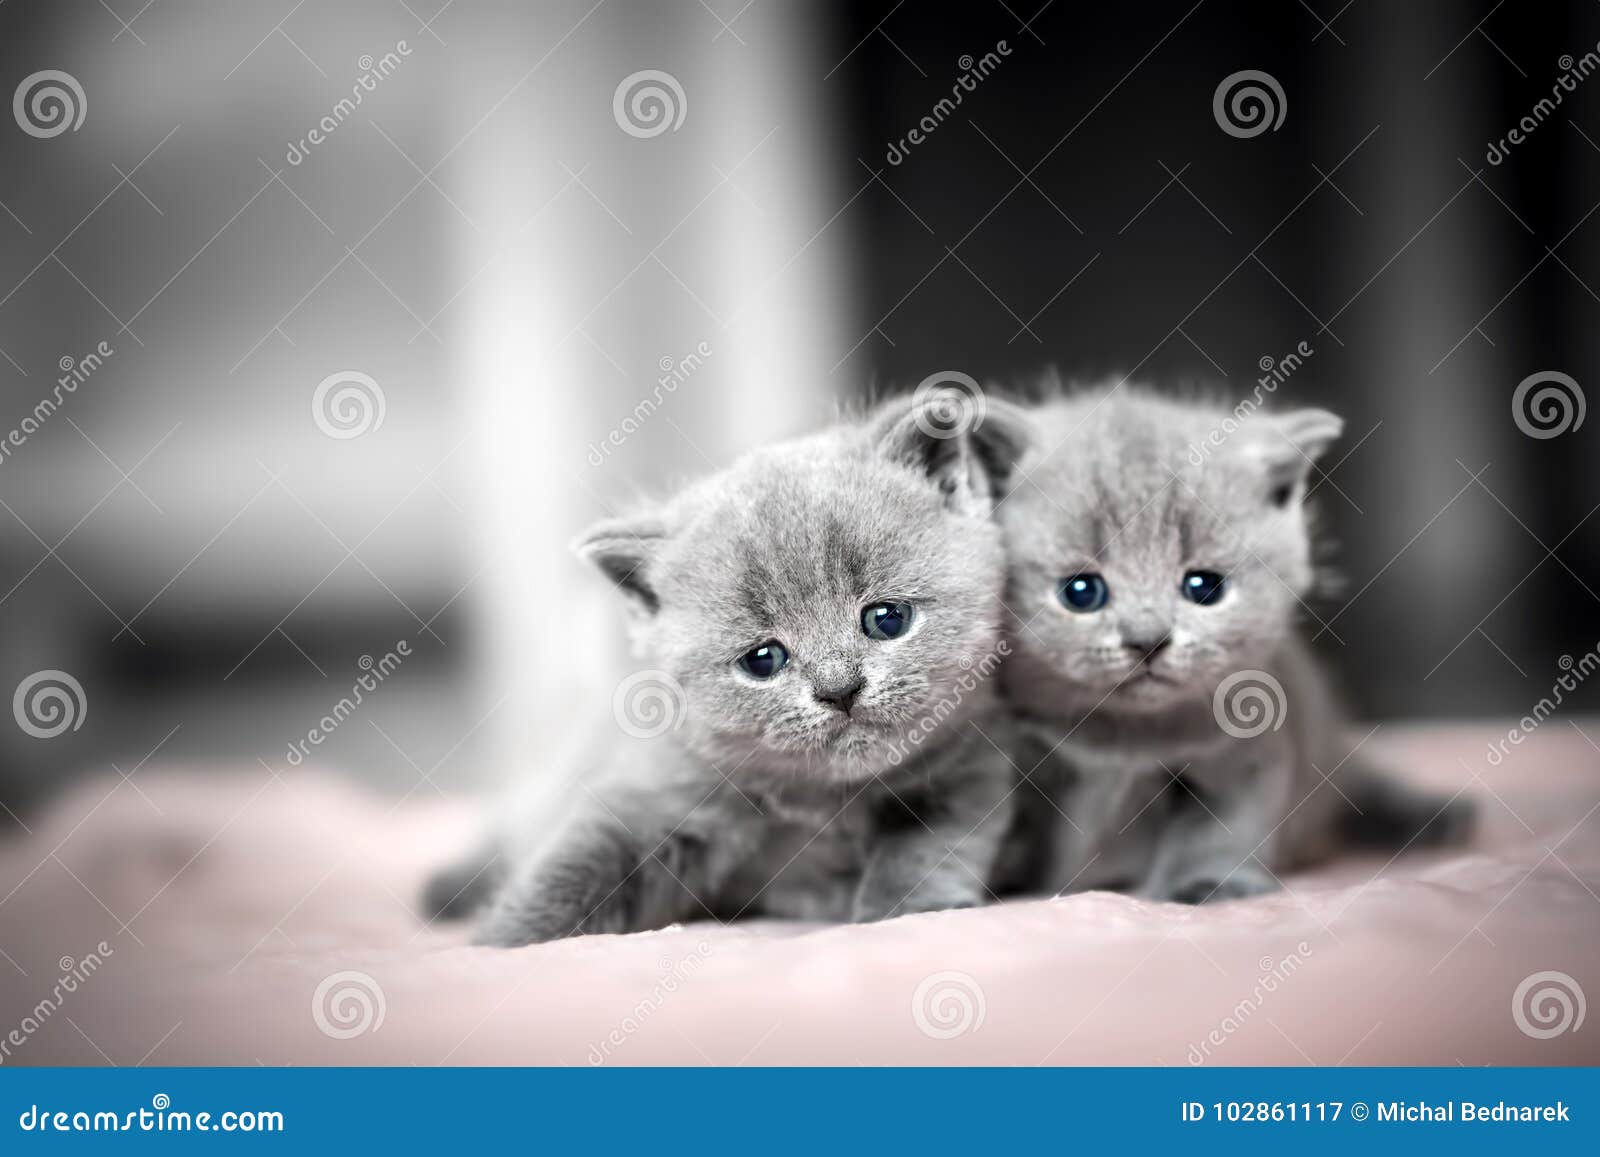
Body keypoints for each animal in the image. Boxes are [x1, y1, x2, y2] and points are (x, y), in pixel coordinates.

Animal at [425, 393, 1024, 947]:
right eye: (763, 660)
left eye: (887, 618)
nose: (839, 688)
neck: (826, 804)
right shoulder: (653, 789)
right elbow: (573, 866)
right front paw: (499, 944)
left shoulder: (970, 764)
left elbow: (927, 846)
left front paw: (904, 912)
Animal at [998, 388, 1472, 902]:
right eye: (1081, 592)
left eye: (1204, 587)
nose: (1148, 640)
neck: (1128, 739)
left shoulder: (1248, 755)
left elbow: (1219, 832)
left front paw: (1207, 885)